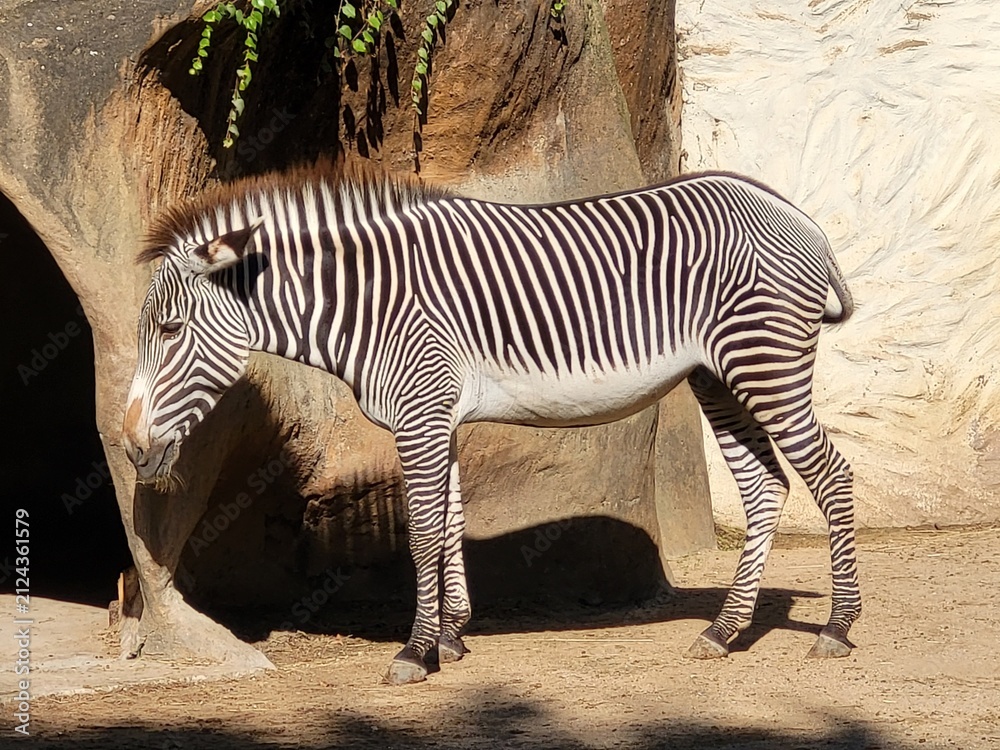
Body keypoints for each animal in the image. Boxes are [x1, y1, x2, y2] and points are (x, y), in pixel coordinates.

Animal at [123, 160, 858, 685]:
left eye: (170, 329)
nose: (131, 448)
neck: (371, 304)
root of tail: (793, 213)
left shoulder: (420, 412)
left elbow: (421, 535)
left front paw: (414, 652)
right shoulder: (438, 416)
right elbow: (449, 523)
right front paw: (451, 637)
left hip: (764, 362)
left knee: (831, 475)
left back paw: (837, 628)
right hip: (718, 375)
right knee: (765, 487)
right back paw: (724, 632)